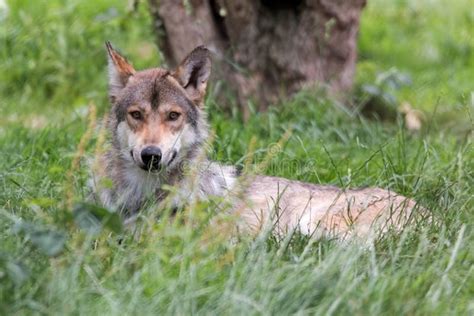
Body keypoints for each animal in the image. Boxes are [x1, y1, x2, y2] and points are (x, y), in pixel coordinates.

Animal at [91, 42, 422, 239]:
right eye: (136, 114)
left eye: (173, 116)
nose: (151, 155)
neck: (141, 196)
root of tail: (426, 214)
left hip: (315, 226)